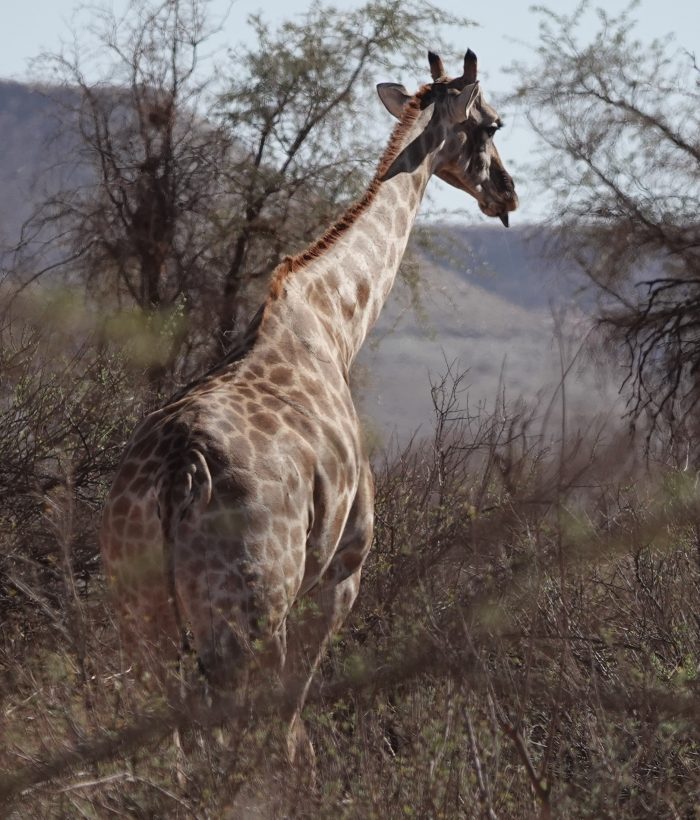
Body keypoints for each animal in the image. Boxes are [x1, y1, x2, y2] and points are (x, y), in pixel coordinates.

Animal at [100, 49, 518, 762]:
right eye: (490, 124)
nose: (508, 194)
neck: (335, 324)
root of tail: (180, 474)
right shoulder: (344, 566)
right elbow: (294, 719)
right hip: (248, 610)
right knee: (238, 734)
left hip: (140, 618)